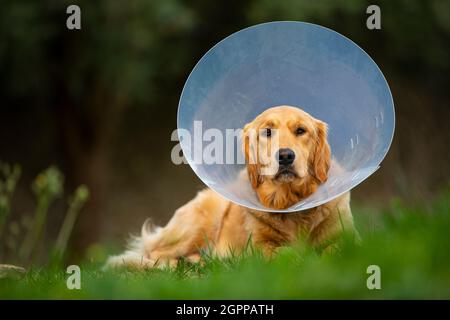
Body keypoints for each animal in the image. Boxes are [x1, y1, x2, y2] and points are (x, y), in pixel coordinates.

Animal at [107, 106, 356, 268]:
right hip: (198, 224)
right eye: (267, 132)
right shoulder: (259, 247)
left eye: (301, 130)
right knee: (154, 254)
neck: (291, 202)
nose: (285, 156)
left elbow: (336, 250)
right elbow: (282, 251)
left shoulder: (348, 238)